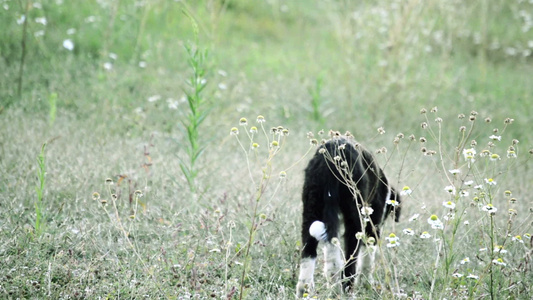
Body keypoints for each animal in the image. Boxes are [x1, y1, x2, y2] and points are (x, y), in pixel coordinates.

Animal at [296, 134, 400, 298]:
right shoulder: (373, 222)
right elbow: (368, 254)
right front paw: (366, 283)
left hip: (311, 206)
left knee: (310, 252)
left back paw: (306, 290)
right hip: (355, 213)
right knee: (350, 257)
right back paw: (346, 289)